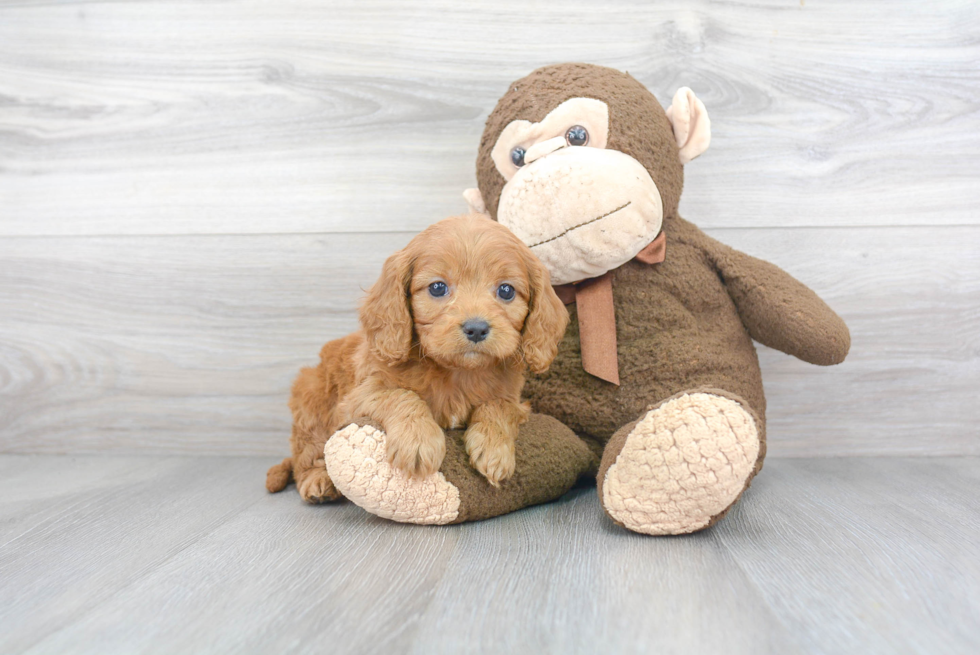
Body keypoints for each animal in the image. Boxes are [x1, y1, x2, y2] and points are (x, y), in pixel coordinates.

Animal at [266, 215, 568, 502]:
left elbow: (497, 406)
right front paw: (418, 440)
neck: (457, 372)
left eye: (506, 290)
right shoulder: (357, 397)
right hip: (312, 402)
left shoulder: (515, 401)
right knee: (307, 454)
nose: (477, 328)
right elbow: (402, 395)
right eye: (437, 288)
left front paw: (494, 448)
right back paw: (319, 481)